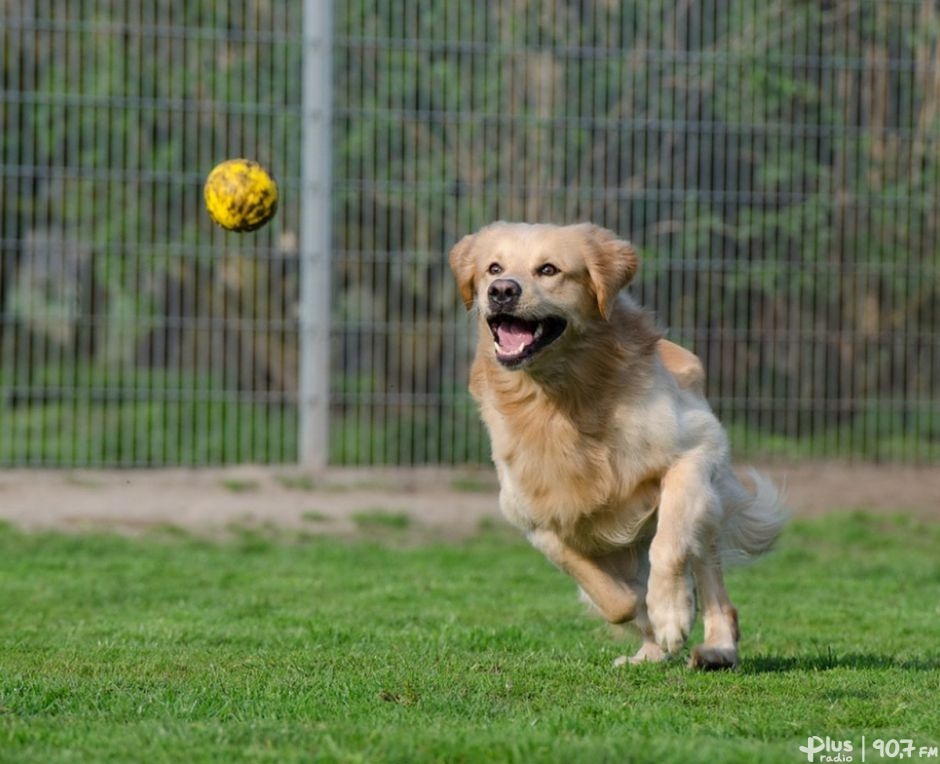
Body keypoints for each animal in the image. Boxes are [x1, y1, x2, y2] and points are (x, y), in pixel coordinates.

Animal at [448, 221, 784, 668]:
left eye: (549, 269)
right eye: (493, 268)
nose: (501, 290)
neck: (560, 398)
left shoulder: (694, 452)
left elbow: (669, 545)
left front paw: (671, 612)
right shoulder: (534, 517)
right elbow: (613, 597)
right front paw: (649, 617)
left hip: (707, 501)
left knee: (710, 577)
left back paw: (717, 647)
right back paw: (649, 652)